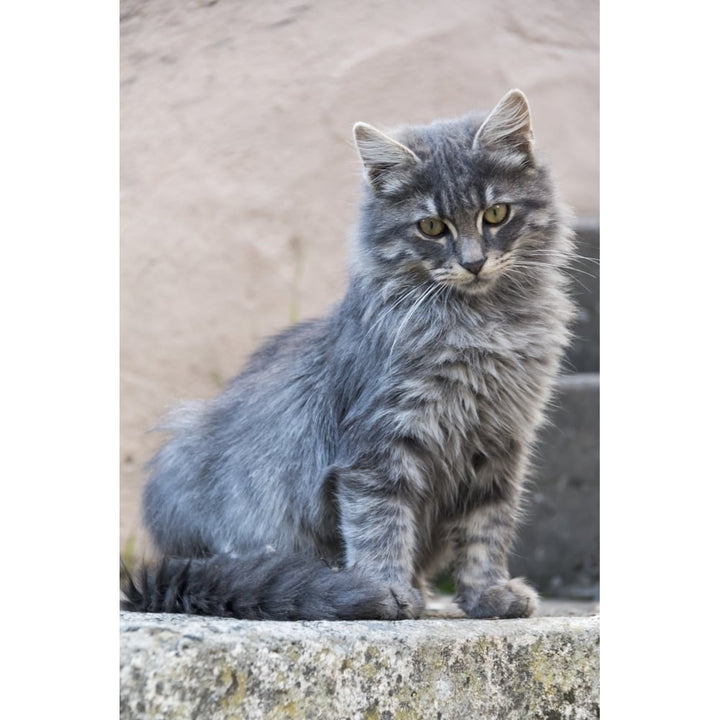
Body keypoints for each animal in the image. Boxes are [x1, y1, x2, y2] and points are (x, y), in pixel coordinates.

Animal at [122, 88, 572, 620]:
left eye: (496, 215)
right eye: (431, 226)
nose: (474, 262)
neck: (484, 326)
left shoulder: (499, 444)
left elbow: (487, 531)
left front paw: (487, 595)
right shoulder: (379, 442)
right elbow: (381, 523)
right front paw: (385, 592)